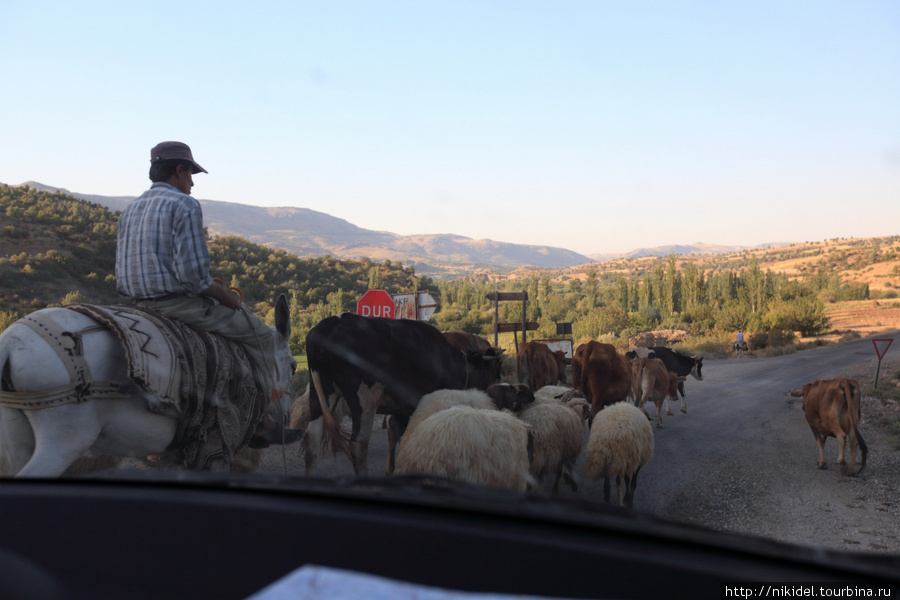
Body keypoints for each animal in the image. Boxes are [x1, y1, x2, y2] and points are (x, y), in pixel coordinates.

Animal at [0, 292, 296, 476]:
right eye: (293, 366)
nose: (286, 417)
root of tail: (11, 342)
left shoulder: (173, 456)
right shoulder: (216, 450)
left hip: (19, 436)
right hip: (64, 441)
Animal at [302, 316, 500, 476]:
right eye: (491, 370)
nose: (494, 385)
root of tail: (330, 323)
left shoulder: (402, 407)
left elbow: (397, 432)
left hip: (320, 394)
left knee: (312, 438)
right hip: (364, 400)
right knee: (358, 446)